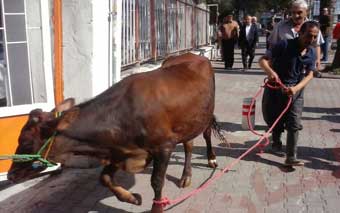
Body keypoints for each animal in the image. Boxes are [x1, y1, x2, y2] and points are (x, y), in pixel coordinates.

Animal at [7, 52, 226, 211]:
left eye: (26, 141)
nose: (10, 175)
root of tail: (193, 55)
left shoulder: (163, 147)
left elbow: (156, 183)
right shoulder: (119, 151)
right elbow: (104, 178)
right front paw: (132, 198)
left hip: (206, 113)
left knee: (204, 136)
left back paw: (210, 159)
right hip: (187, 121)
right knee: (189, 143)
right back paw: (186, 176)